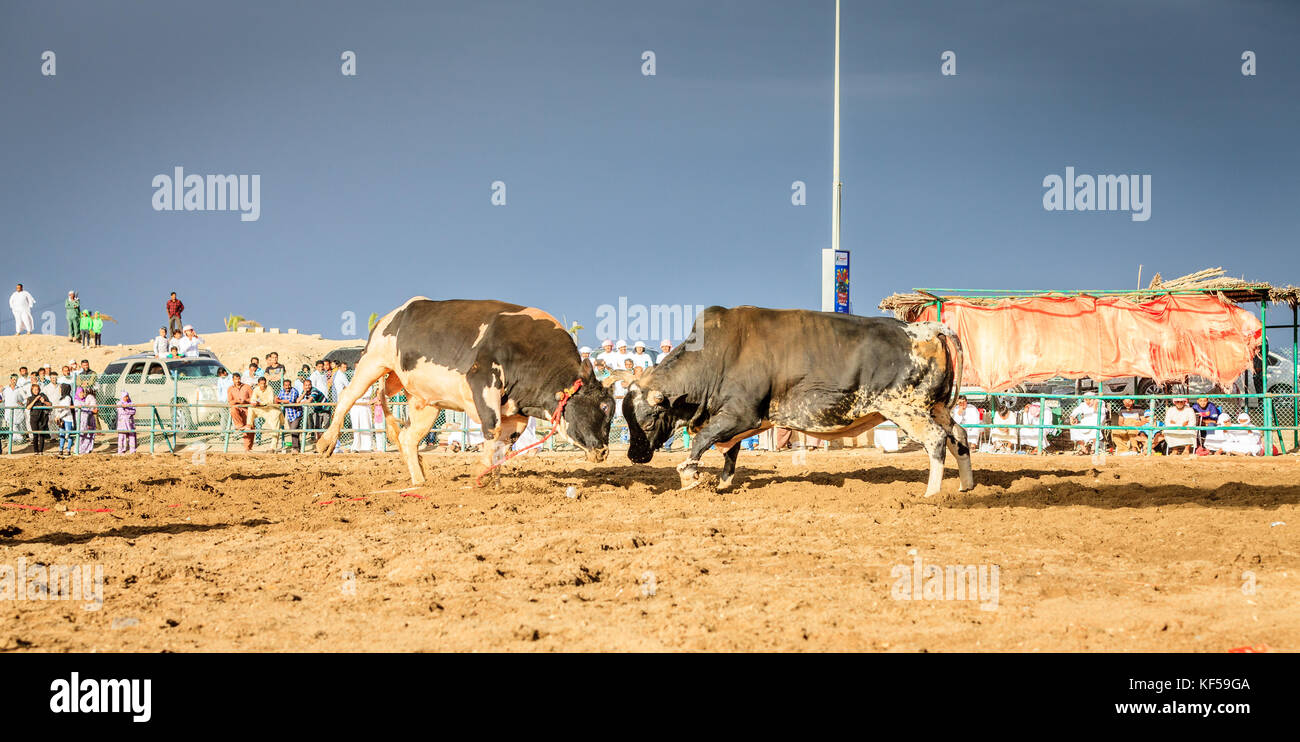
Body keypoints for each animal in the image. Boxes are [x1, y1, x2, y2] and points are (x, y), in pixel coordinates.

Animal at [618, 305, 977, 496]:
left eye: (647, 420)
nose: (634, 456)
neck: (716, 356)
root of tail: (925, 328)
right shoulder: (732, 420)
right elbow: (729, 455)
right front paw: (721, 486)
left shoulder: (740, 414)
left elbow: (702, 442)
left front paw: (690, 477)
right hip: (937, 407)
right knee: (959, 436)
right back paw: (966, 487)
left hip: (906, 409)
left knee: (936, 440)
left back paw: (932, 493)